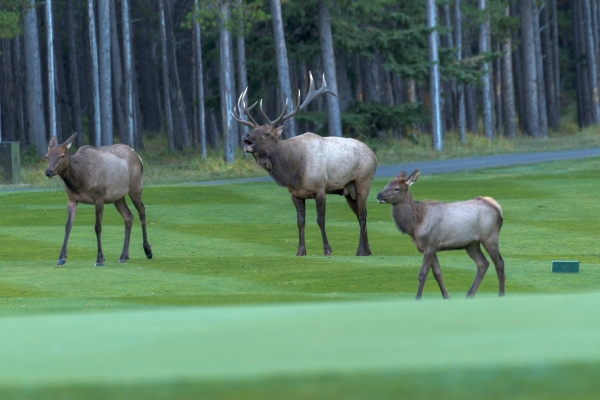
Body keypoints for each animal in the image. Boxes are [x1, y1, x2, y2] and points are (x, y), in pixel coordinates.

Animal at [44, 133, 152, 268]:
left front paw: (100, 259)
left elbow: (98, 227)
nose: (48, 172)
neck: (80, 180)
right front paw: (61, 257)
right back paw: (124, 255)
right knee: (128, 216)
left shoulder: (99, 197)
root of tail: (137, 155)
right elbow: (68, 226)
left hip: (136, 187)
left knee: (142, 211)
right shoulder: (72, 199)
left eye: (62, 155)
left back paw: (148, 251)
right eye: (47, 156)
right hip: (118, 197)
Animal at [233, 72, 378, 256]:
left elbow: (320, 220)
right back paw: (367, 250)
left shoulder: (320, 188)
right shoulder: (295, 194)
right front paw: (300, 251)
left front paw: (327, 250)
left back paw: (360, 250)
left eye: (267, 133)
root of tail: (374, 155)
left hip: (363, 180)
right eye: (254, 130)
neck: (295, 171)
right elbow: (300, 221)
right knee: (361, 213)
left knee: (362, 214)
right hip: (348, 190)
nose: (245, 136)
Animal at [378, 170, 504, 300]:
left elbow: (422, 273)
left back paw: (501, 294)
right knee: (483, 263)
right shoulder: (428, 247)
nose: (379, 196)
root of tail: (497, 207)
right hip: (471, 244)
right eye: (387, 184)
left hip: (489, 237)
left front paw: (417, 298)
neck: (414, 225)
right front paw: (446, 296)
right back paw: (469, 294)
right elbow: (437, 273)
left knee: (499, 263)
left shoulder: (431, 244)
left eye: (397, 188)